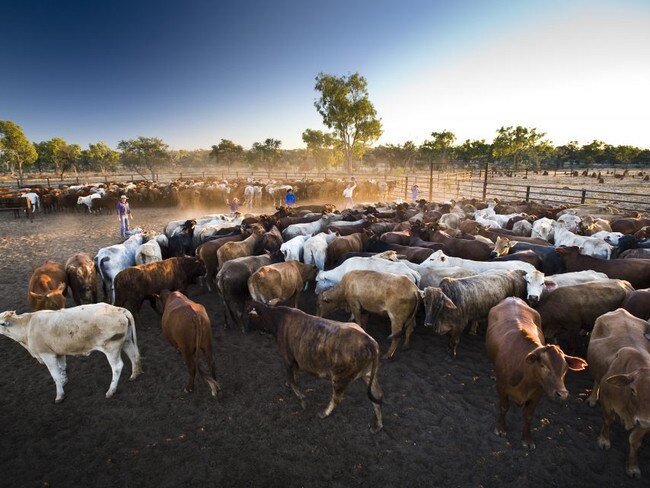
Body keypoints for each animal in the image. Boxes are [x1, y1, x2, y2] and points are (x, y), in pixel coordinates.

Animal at [0, 304, 142, 404]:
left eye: (1, 323)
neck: (27, 326)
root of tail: (119, 309)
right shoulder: (58, 352)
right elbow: (62, 368)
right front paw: (64, 382)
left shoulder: (47, 355)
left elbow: (55, 375)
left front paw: (59, 395)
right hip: (126, 340)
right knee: (134, 355)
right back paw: (134, 375)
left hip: (111, 348)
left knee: (117, 367)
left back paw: (111, 391)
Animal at [246, 304, 382, 432]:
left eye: (248, 315)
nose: (244, 329)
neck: (278, 319)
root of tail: (370, 343)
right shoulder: (295, 361)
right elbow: (294, 376)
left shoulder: (288, 359)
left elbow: (292, 379)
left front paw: (302, 399)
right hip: (369, 375)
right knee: (377, 397)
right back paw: (377, 426)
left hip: (340, 377)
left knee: (337, 398)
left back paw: (324, 413)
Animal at [486, 294, 588, 450]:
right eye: (542, 365)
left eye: (565, 369)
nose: (562, 394)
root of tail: (513, 298)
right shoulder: (502, 387)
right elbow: (504, 407)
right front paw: (501, 428)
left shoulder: (537, 394)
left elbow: (528, 416)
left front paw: (527, 439)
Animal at [584, 310, 648, 478]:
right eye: (633, 390)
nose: (643, 421)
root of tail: (620, 311)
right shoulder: (607, 401)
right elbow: (607, 420)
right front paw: (604, 441)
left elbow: (634, 441)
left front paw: (633, 467)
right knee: (596, 381)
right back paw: (592, 399)